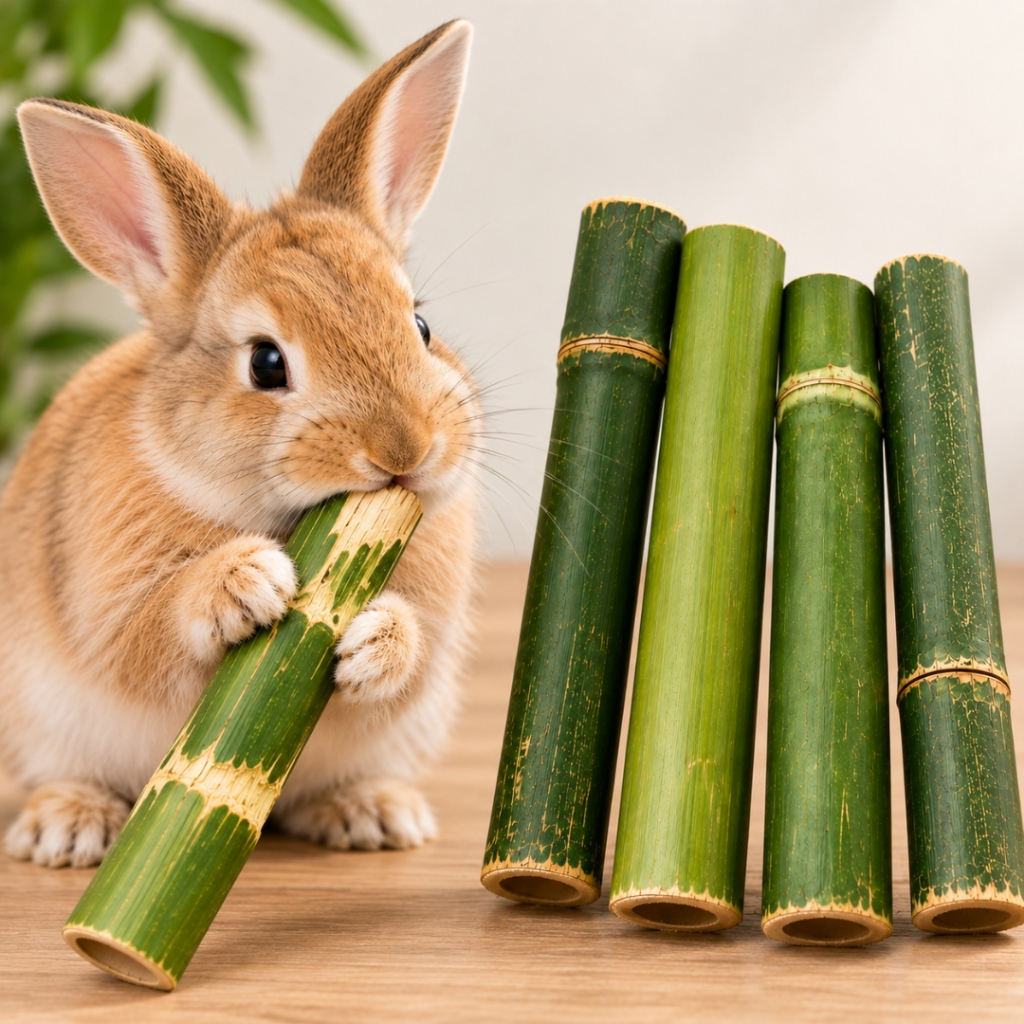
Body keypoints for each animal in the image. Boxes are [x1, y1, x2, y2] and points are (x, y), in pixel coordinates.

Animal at [0, 20, 478, 867]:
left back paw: (373, 814)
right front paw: (243, 582)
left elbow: (415, 649)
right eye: (266, 363)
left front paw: (378, 641)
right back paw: (69, 828)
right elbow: (147, 634)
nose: (406, 452)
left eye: (420, 325)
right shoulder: (110, 610)